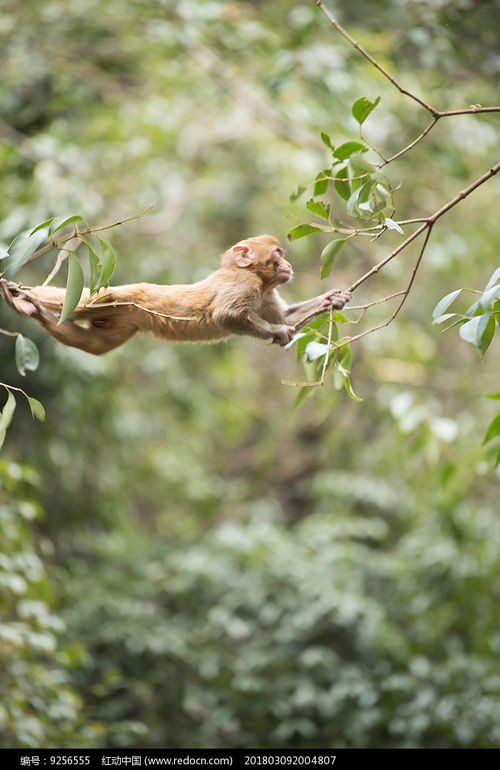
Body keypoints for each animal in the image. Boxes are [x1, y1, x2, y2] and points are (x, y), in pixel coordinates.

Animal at [0, 232, 352, 356]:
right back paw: (26, 298)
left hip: (124, 319)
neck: (253, 276)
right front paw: (278, 331)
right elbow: (226, 315)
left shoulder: (264, 293)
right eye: (278, 253)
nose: (288, 265)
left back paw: (34, 312)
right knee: (81, 304)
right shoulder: (245, 285)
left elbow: (287, 313)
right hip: (121, 295)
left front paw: (331, 300)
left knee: (98, 344)